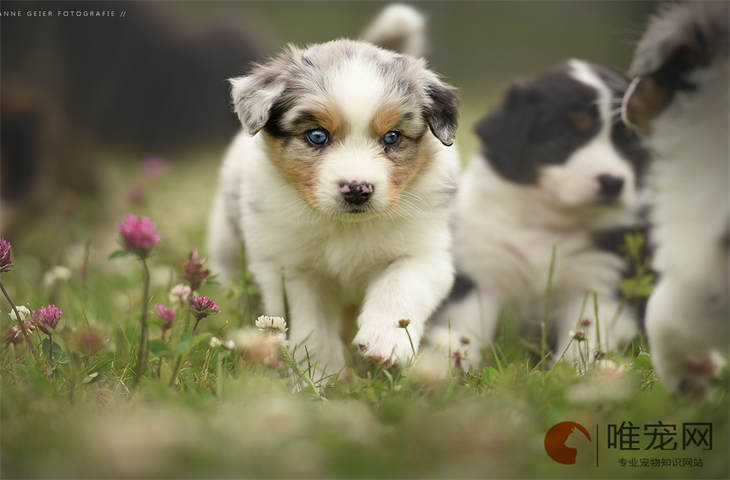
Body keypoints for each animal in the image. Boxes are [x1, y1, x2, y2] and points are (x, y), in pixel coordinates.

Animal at [205, 5, 458, 376]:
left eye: (392, 137)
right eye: (317, 136)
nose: (357, 189)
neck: (346, 227)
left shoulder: (424, 251)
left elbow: (400, 286)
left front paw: (385, 343)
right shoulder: (293, 269)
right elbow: (313, 328)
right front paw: (320, 376)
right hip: (228, 244)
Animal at [426, 59, 648, 368]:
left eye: (627, 140)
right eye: (567, 135)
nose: (613, 183)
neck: (547, 221)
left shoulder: (597, 280)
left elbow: (584, 336)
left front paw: (575, 372)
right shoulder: (481, 269)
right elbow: (467, 327)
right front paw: (456, 364)